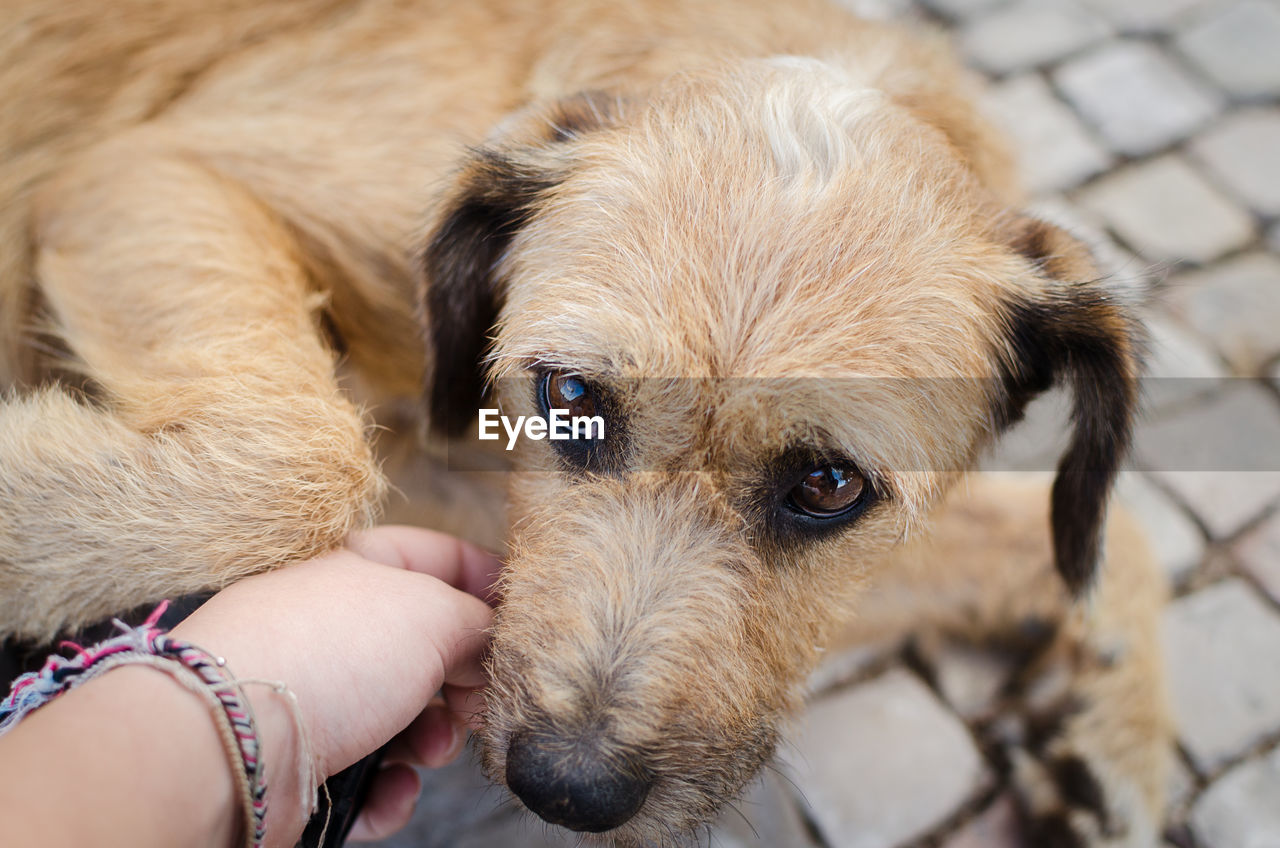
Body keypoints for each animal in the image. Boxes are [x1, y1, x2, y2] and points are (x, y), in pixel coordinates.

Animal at [0, 3, 1172, 845]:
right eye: (569, 396)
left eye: (831, 485)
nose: (567, 789)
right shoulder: (143, 174)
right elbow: (308, 460)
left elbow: (1104, 534)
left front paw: (1120, 744)